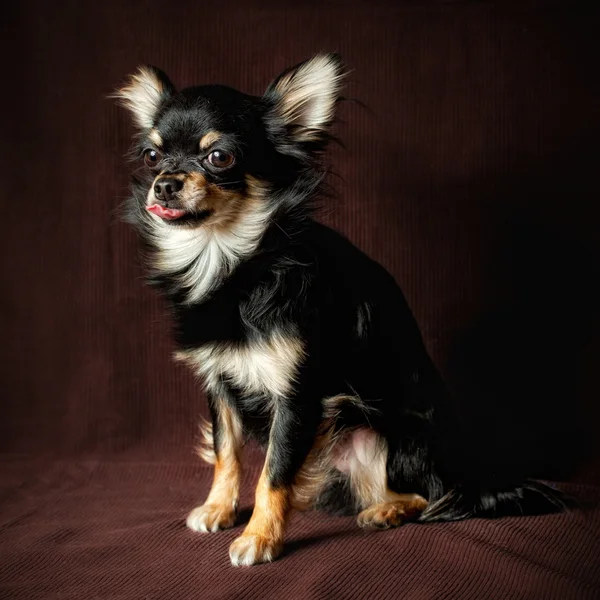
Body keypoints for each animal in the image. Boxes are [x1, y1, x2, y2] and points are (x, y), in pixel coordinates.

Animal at [113, 52, 568, 568]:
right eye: (151, 157)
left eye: (219, 157)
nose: (164, 184)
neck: (232, 261)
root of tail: (467, 476)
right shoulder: (220, 383)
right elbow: (227, 453)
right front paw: (218, 508)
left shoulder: (298, 395)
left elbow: (273, 472)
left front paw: (259, 537)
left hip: (386, 438)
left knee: (427, 495)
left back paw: (386, 511)